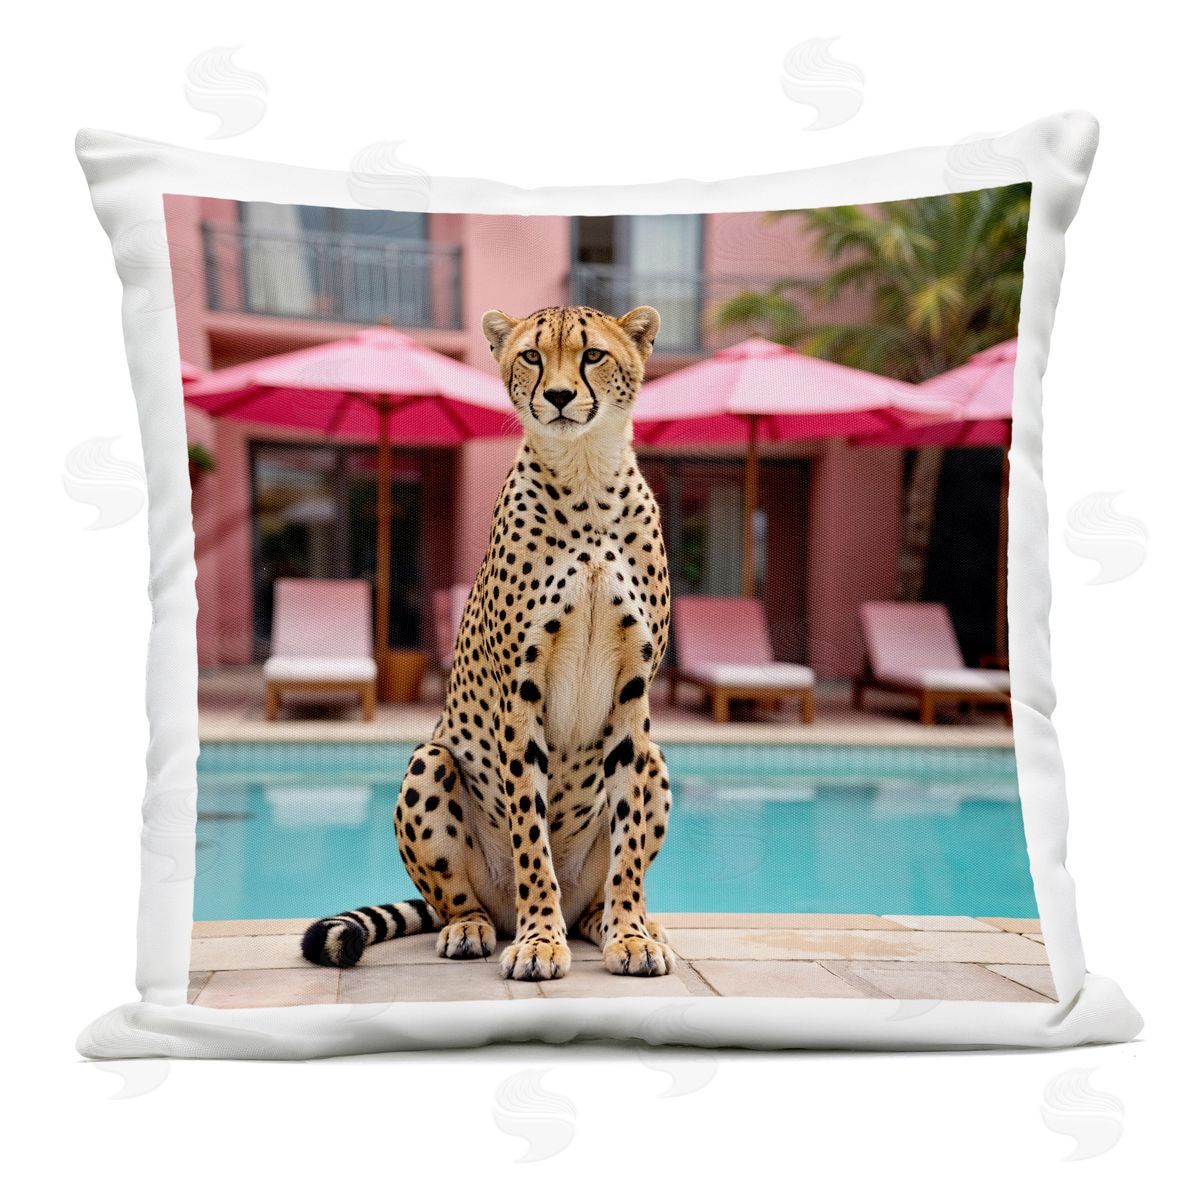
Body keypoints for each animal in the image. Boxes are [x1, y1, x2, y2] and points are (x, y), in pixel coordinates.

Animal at [302, 304, 674, 982]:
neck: (585, 475)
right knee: (457, 898)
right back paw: (475, 927)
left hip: (656, 759)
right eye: (531, 356)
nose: (559, 396)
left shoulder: (635, 694)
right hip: (431, 761)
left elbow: (629, 840)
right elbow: (531, 833)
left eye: (593, 355)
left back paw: (607, 919)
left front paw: (631, 934)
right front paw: (539, 940)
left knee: (600, 883)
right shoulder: (519, 691)